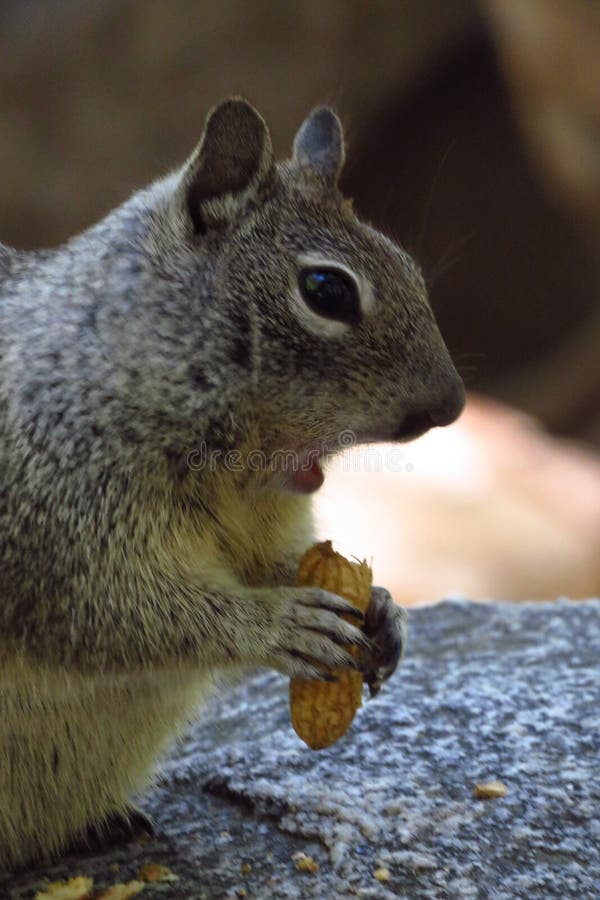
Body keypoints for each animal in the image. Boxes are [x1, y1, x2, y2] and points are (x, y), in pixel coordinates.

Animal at [0, 100, 464, 872]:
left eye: (407, 265)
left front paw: (386, 609)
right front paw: (279, 623)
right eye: (327, 291)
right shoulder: (56, 525)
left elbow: (284, 567)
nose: (452, 406)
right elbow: (124, 612)